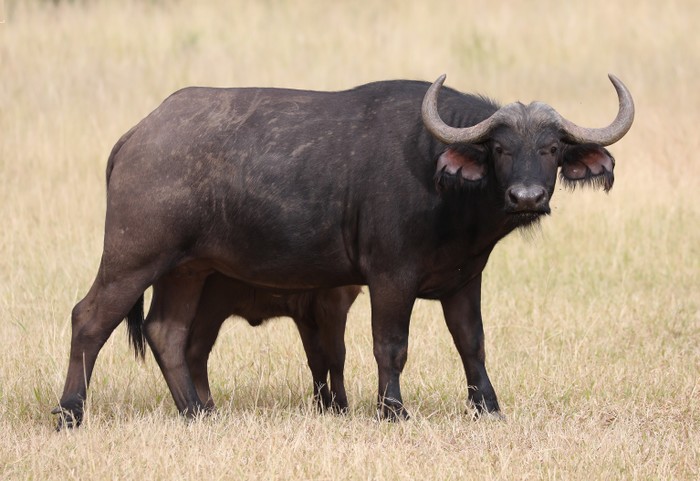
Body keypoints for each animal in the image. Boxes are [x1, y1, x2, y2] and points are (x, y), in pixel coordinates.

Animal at [53, 74, 634, 429]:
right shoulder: (390, 277)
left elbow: (473, 344)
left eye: (552, 148)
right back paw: (69, 414)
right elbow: (390, 346)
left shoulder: (465, 279)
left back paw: (199, 414)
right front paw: (393, 412)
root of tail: (136, 135)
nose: (527, 197)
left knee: (167, 333)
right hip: (133, 257)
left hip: (188, 271)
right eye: (499, 147)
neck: (443, 184)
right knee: (90, 318)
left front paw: (488, 408)